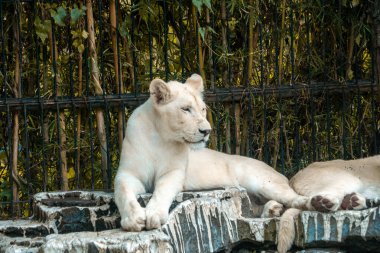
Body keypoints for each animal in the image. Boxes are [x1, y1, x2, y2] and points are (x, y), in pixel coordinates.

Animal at [115, 74, 308, 232]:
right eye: (186, 109)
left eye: (202, 109)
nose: (207, 130)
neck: (160, 137)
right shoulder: (128, 173)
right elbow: (123, 192)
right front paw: (133, 220)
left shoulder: (174, 173)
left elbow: (163, 189)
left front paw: (154, 214)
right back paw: (273, 209)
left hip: (261, 181)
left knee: (295, 198)